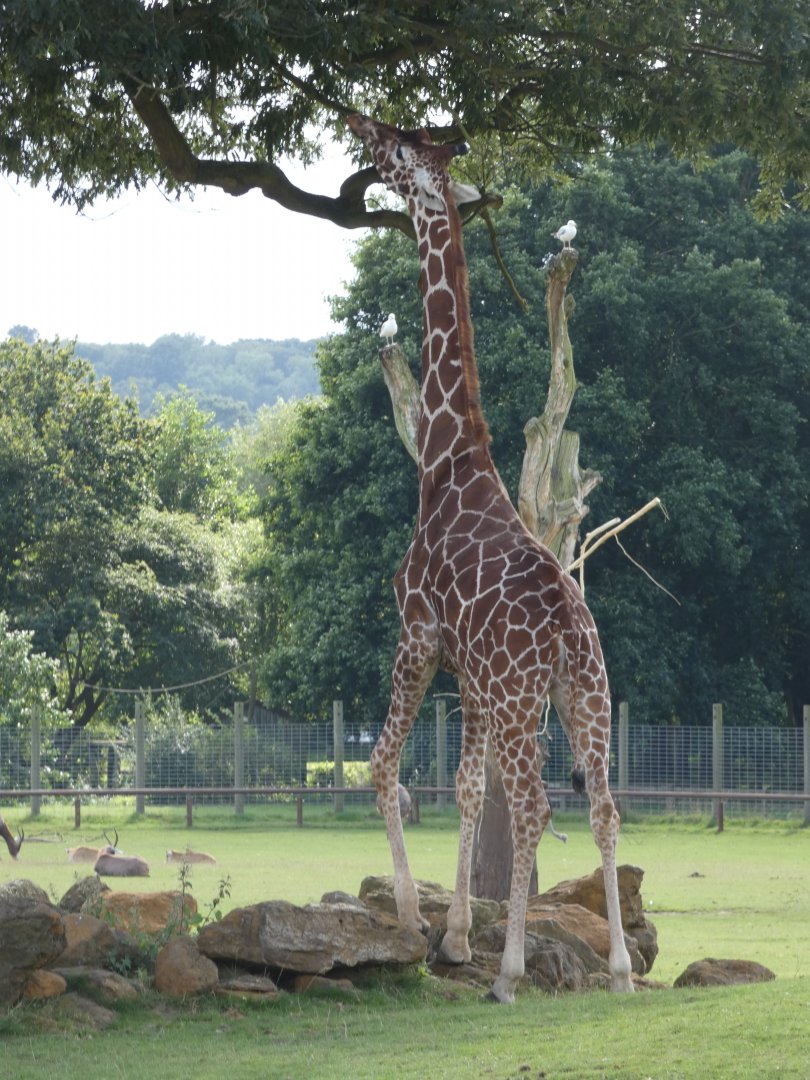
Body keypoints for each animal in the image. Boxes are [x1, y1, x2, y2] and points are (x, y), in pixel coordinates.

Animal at [347, 113, 633, 1003]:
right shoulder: (469, 676)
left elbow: (385, 768)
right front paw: (454, 937)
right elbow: (466, 789)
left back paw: (511, 973)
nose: (360, 128)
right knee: (604, 806)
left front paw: (417, 921)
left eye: (403, 147)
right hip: (585, 692)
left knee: (539, 806)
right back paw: (619, 969)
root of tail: (568, 627)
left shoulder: (418, 636)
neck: (444, 462)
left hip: (521, 697)